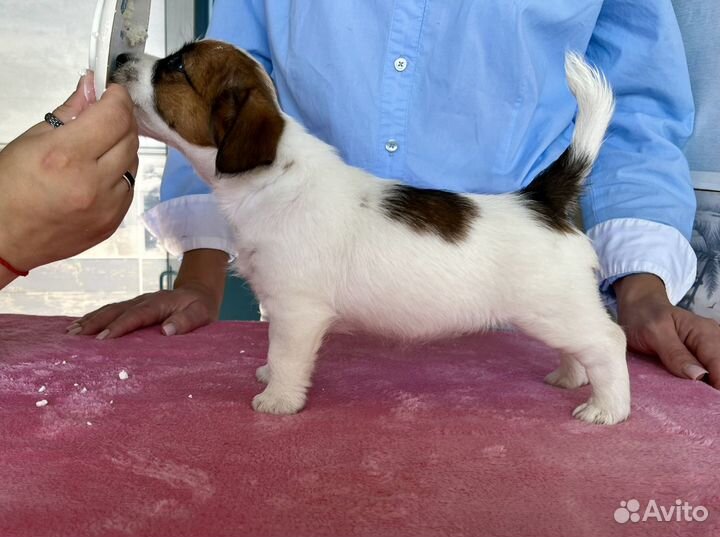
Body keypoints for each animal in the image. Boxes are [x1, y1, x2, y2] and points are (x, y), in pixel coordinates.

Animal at [112, 39, 632, 422]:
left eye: (176, 66)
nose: (119, 57)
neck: (274, 175)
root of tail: (540, 200)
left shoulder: (297, 311)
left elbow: (287, 357)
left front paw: (278, 399)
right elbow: (275, 354)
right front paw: (267, 375)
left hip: (554, 309)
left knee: (610, 343)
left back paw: (607, 408)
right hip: (559, 314)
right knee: (582, 348)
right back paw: (570, 377)